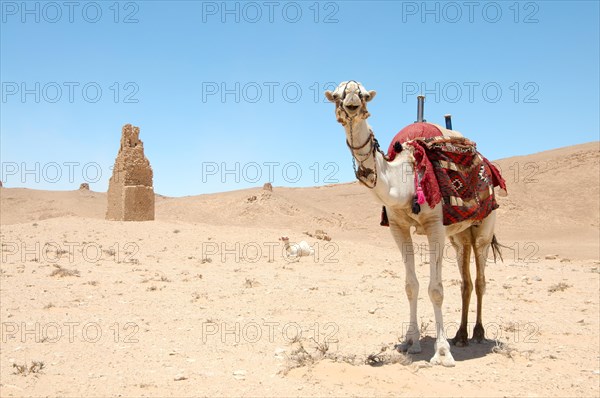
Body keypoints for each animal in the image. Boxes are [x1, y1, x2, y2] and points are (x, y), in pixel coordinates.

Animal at [326, 80, 504, 366]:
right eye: (336, 95)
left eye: (363, 95)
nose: (351, 104)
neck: (404, 182)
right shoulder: (398, 228)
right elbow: (411, 286)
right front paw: (411, 342)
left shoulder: (435, 226)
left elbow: (436, 289)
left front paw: (442, 352)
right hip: (459, 236)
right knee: (465, 281)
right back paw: (460, 335)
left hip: (484, 228)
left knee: (480, 280)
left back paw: (477, 334)